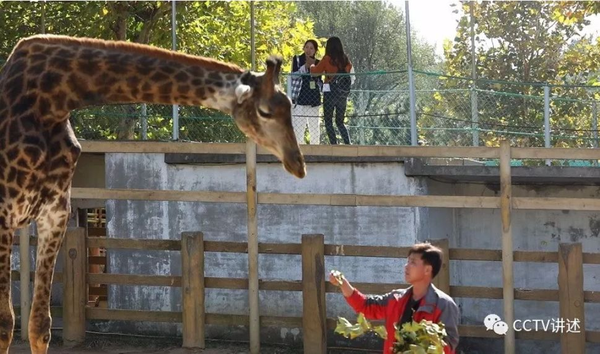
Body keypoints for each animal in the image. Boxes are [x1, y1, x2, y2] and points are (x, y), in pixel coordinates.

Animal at [0, 34, 308, 354]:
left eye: (288, 107)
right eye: (265, 111)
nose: (298, 163)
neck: (52, 101)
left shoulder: (55, 214)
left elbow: (40, 325)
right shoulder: (5, 213)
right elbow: (5, 323)